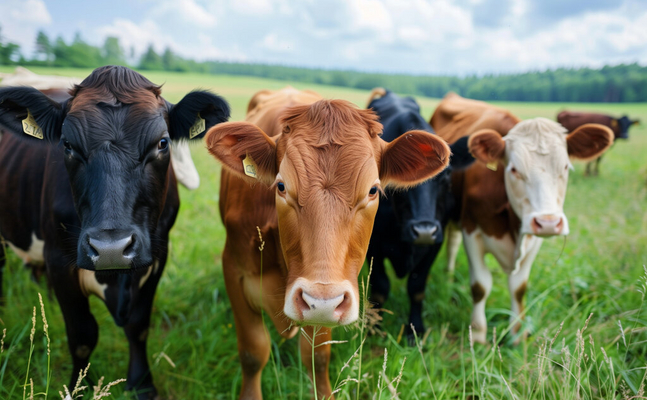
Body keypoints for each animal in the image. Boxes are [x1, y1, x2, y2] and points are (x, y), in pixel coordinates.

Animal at [0, 65, 230, 396]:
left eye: (162, 143)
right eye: (67, 145)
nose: (111, 249)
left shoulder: (158, 256)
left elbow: (138, 326)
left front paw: (142, 384)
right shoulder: (59, 260)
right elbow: (82, 335)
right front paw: (79, 388)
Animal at [206, 88, 450, 400]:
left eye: (373, 190)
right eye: (281, 186)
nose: (321, 300)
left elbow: (318, 356)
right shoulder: (234, 271)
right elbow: (253, 352)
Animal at [364, 89, 476, 336]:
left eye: (446, 176)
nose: (424, 230)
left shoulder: (434, 243)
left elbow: (416, 288)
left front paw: (415, 329)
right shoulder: (372, 243)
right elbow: (380, 287)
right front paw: (373, 327)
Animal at [430, 93, 612, 344]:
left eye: (566, 166)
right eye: (514, 169)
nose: (548, 222)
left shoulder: (532, 239)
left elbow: (519, 288)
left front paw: (518, 335)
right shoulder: (471, 231)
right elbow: (480, 286)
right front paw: (478, 335)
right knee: (452, 243)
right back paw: (448, 278)